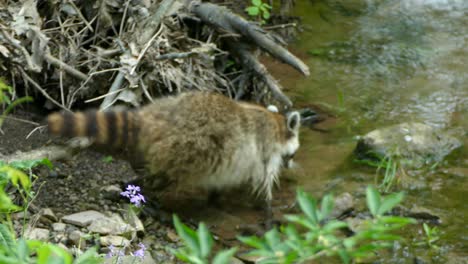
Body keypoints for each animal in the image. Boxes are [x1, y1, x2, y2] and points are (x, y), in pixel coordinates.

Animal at [47, 92, 302, 218]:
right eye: (292, 155)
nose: (292, 165)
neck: (277, 125)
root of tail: (155, 118)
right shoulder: (264, 152)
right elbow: (263, 183)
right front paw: (271, 206)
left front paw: (216, 197)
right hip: (189, 149)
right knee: (165, 175)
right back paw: (147, 191)